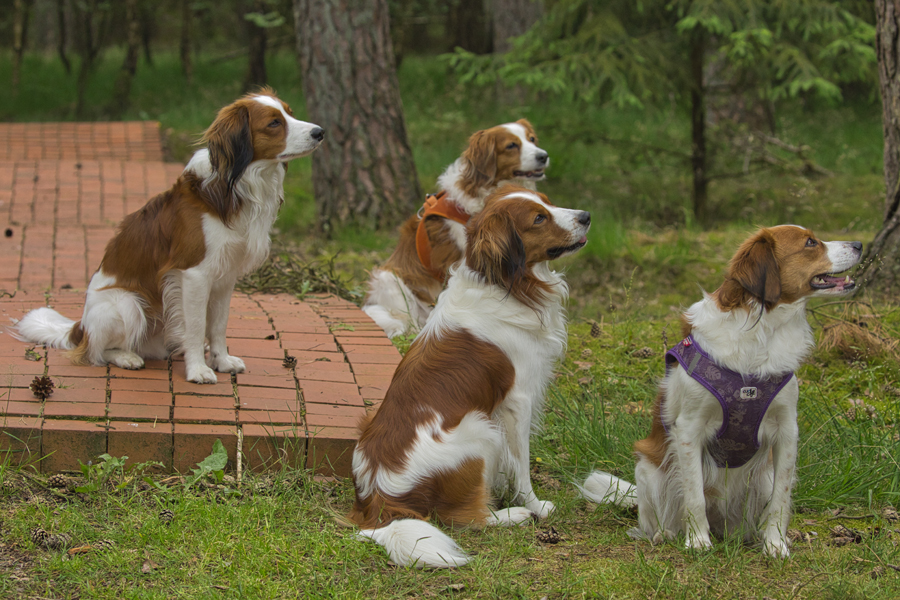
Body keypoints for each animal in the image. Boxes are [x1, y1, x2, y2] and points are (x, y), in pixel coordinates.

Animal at [14, 86, 324, 382]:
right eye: (274, 123)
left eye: (290, 113)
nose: (320, 132)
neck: (235, 185)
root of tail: (79, 328)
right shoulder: (195, 275)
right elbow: (197, 327)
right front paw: (198, 370)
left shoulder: (225, 276)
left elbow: (218, 325)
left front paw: (221, 361)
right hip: (127, 304)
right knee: (95, 352)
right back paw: (125, 357)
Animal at [346, 186, 592, 568]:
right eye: (539, 218)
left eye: (548, 202)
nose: (586, 216)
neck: (505, 285)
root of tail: (380, 502)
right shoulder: (517, 402)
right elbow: (522, 465)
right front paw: (534, 504)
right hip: (480, 429)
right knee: (468, 519)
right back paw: (512, 516)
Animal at [580, 225, 860, 556]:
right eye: (810, 243)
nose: (859, 244)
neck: (760, 332)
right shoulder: (689, 430)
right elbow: (694, 496)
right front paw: (698, 541)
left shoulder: (786, 430)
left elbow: (781, 498)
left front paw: (775, 544)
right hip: (649, 470)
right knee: (657, 516)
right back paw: (664, 534)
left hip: (761, 477)